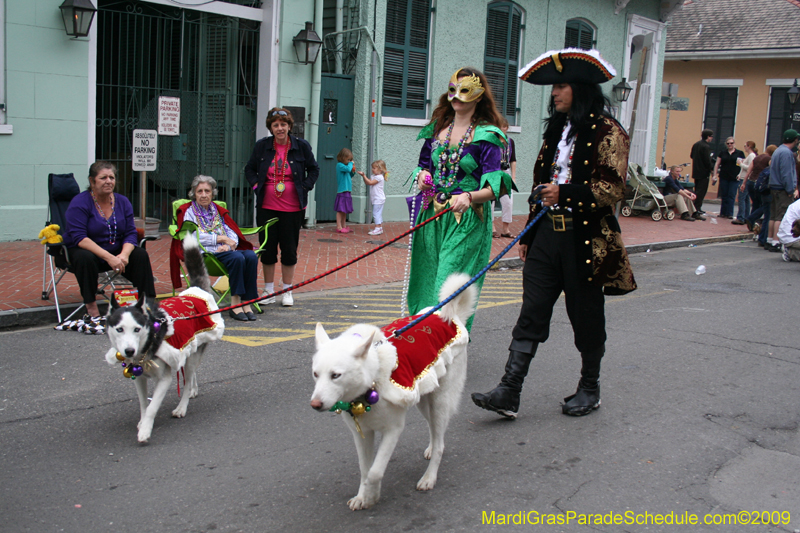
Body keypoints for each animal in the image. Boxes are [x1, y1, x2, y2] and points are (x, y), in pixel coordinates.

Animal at [102, 236, 225, 440]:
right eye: (119, 329)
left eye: (137, 329)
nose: (129, 351)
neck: (148, 343)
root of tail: (196, 291)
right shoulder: (140, 378)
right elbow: (144, 404)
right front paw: (143, 422)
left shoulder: (164, 379)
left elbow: (152, 407)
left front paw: (145, 430)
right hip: (189, 350)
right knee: (191, 374)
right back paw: (193, 389)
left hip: (193, 353)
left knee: (188, 378)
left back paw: (182, 406)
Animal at [310, 272, 476, 510]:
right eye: (316, 374)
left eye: (336, 375)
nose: (315, 405)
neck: (370, 385)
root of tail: (448, 316)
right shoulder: (362, 434)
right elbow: (365, 469)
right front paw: (363, 496)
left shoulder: (393, 430)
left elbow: (375, 472)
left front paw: (372, 496)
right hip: (423, 400)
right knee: (434, 431)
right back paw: (431, 448)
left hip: (440, 402)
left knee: (440, 439)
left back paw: (429, 477)